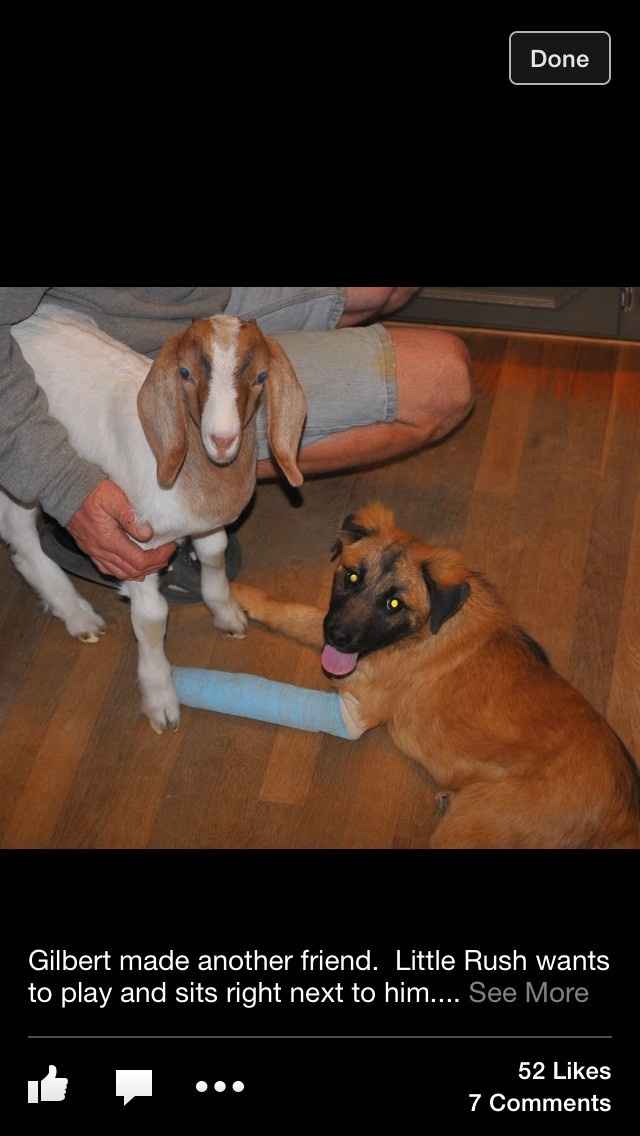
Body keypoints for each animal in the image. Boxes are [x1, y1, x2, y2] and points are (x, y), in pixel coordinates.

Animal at [1, 303, 307, 732]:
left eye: (261, 376)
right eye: (185, 373)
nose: (223, 440)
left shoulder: (206, 525)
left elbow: (214, 554)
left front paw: (227, 615)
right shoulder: (135, 545)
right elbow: (151, 618)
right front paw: (161, 700)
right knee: (23, 535)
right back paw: (80, 615)